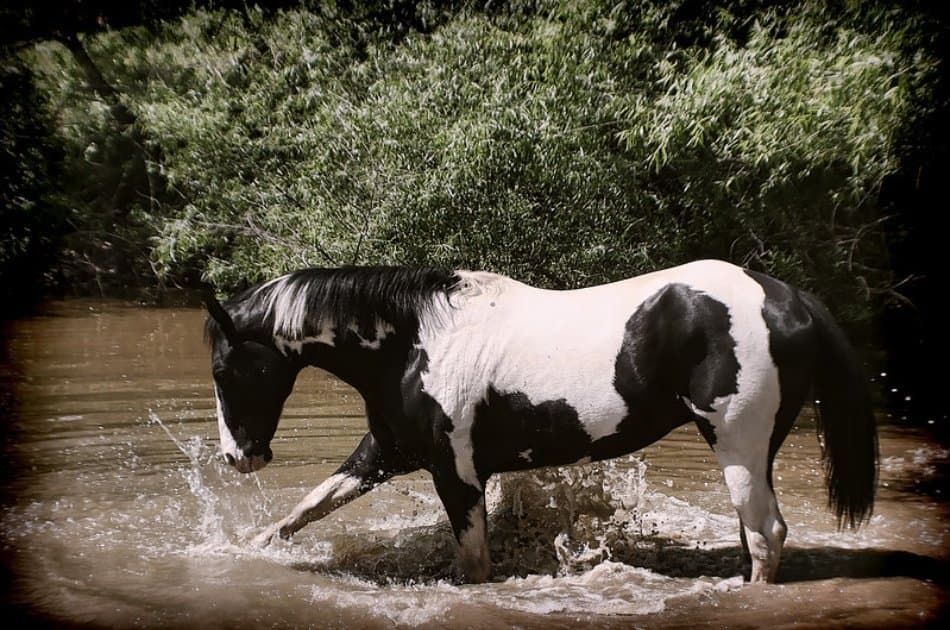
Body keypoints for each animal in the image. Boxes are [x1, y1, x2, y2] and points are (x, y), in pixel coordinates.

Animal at [202, 259, 878, 584]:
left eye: (224, 369)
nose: (240, 457)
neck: (415, 341)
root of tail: (788, 297)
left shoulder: (457, 474)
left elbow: (474, 566)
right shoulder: (384, 454)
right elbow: (300, 513)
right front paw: (242, 554)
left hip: (738, 443)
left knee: (766, 535)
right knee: (755, 536)